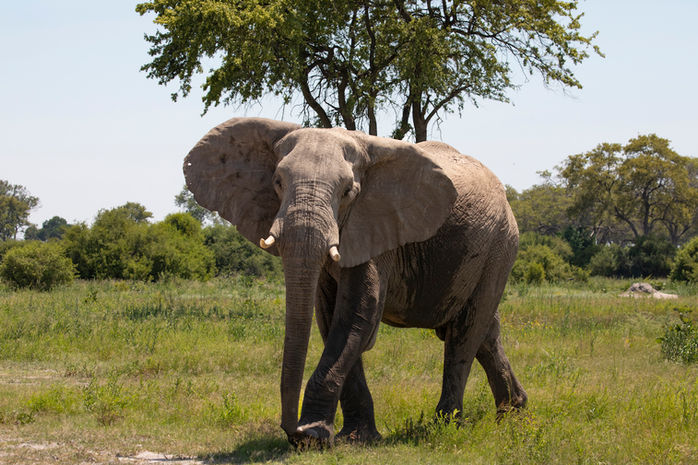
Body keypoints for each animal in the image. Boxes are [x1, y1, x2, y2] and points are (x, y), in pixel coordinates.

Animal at [184, 117, 527, 446]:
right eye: (278, 183)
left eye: (348, 191)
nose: (293, 431)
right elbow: (328, 316)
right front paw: (353, 437)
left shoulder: (378, 227)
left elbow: (357, 317)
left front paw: (315, 438)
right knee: (484, 332)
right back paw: (514, 416)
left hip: (499, 245)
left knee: (464, 333)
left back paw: (444, 427)